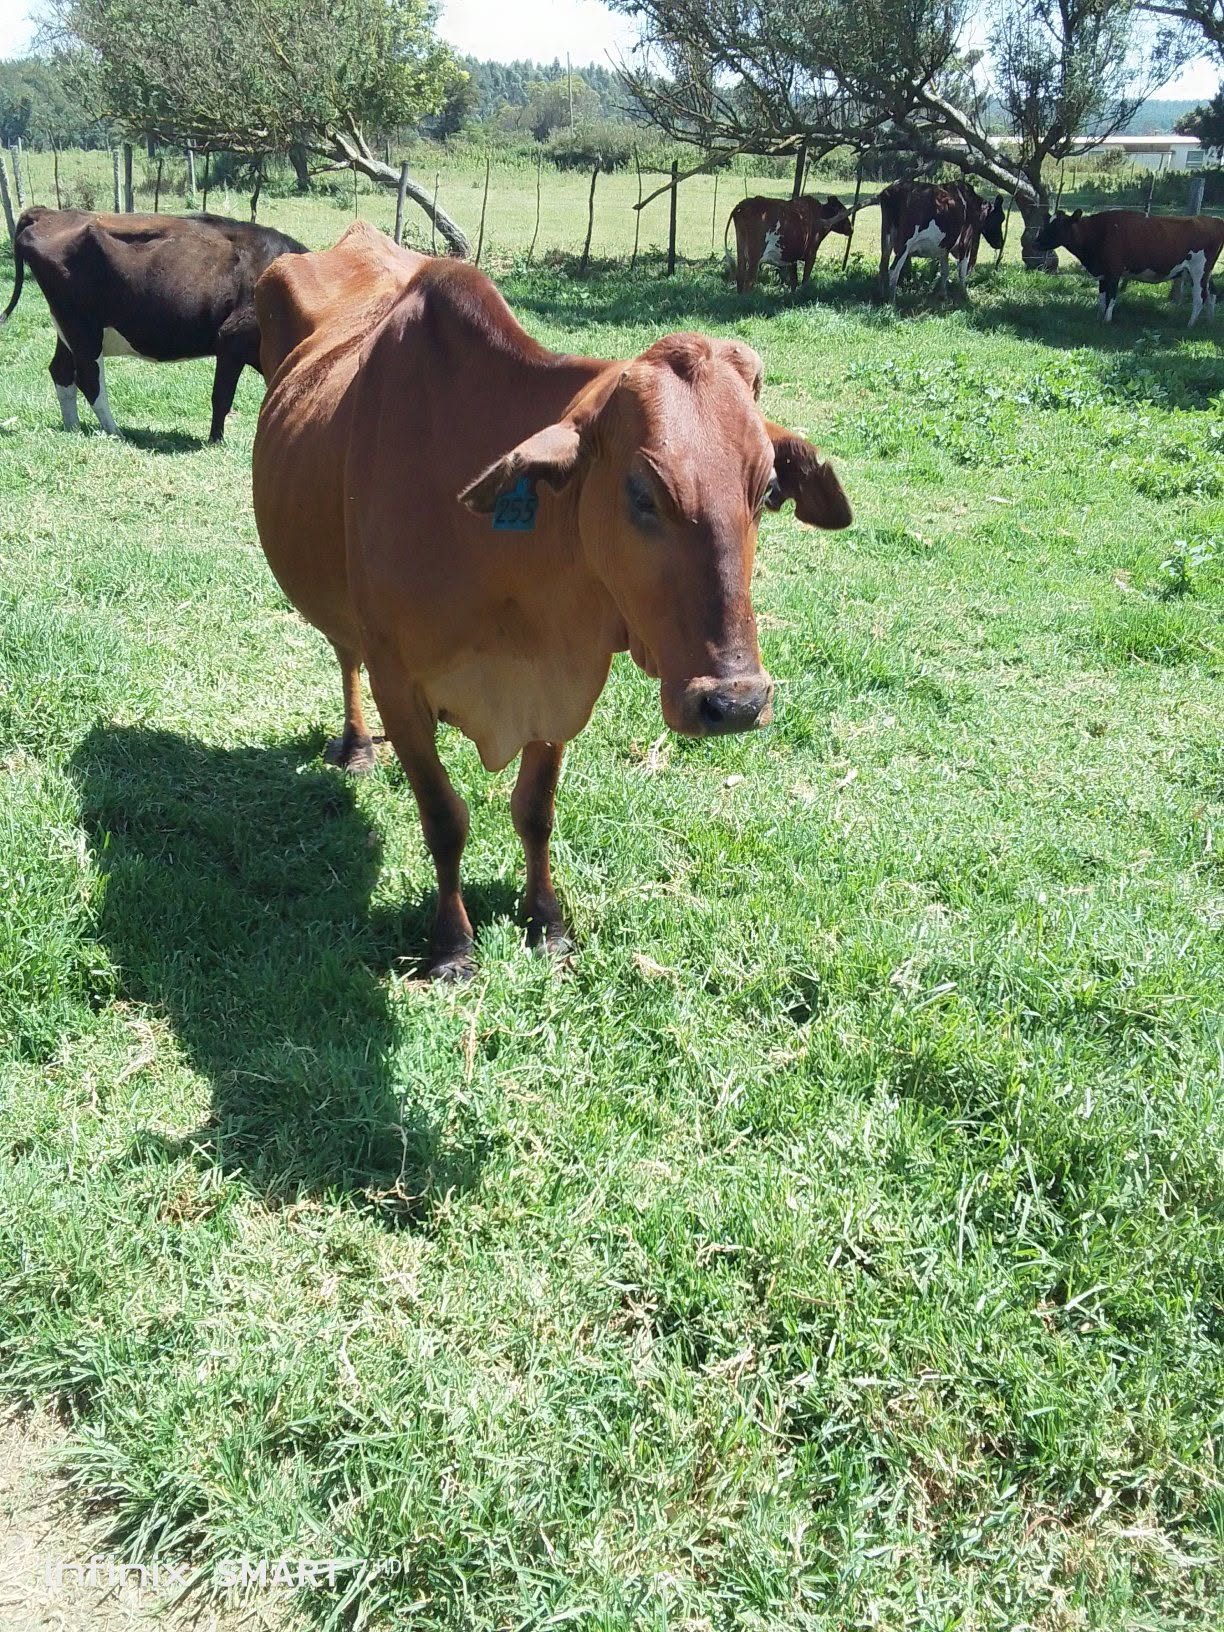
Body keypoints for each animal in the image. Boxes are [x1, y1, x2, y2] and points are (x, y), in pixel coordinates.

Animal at [1, 207, 306, 441]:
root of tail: (49, 213)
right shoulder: (232, 339)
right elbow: (221, 397)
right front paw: (215, 440)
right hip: (83, 330)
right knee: (89, 378)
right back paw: (115, 433)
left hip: (68, 330)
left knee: (61, 371)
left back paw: (73, 428)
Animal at [251, 223, 853, 979]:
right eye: (641, 493)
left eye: (769, 489)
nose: (735, 702)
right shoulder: (400, 683)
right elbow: (443, 818)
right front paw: (452, 945)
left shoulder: (562, 681)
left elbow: (534, 809)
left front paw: (547, 921)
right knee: (343, 650)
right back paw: (357, 745)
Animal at [1032, 208, 1223, 327]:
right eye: (1047, 223)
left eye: (1058, 225)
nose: (1036, 242)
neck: (1098, 232)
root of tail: (1213, 219)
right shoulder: (1103, 273)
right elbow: (1102, 298)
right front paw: (1098, 317)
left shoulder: (1114, 271)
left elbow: (1111, 297)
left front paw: (1107, 320)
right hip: (1201, 273)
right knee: (1212, 294)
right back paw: (1209, 322)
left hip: (1199, 271)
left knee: (1200, 298)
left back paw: (1190, 325)